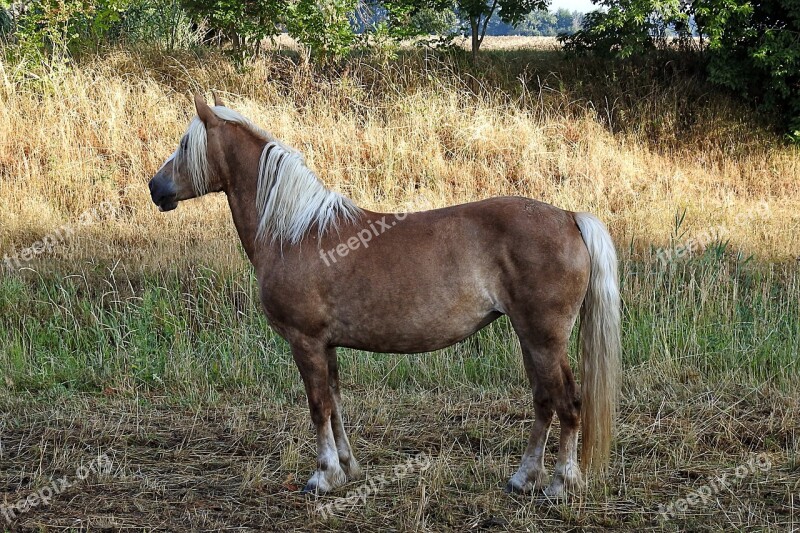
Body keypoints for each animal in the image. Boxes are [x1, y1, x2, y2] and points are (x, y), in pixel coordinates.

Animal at [150, 93, 624, 496]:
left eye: (184, 143)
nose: (156, 188)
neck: (296, 233)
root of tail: (568, 217)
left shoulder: (306, 342)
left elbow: (318, 406)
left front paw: (322, 476)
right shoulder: (327, 345)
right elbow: (336, 403)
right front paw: (347, 468)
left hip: (544, 338)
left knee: (568, 402)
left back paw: (559, 484)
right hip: (530, 338)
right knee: (544, 401)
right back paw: (523, 478)